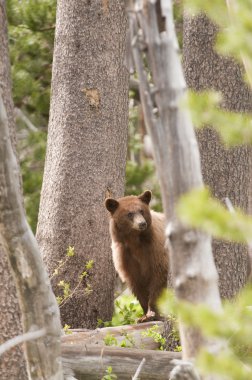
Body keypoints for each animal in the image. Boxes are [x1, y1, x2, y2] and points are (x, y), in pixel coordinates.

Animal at [105, 191, 168, 322]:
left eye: (141, 210)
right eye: (129, 214)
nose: (142, 223)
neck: (135, 242)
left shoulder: (156, 250)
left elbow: (158, 277)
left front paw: (152, 313)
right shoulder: (126, 257)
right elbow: (137, 284)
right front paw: (143, 315)